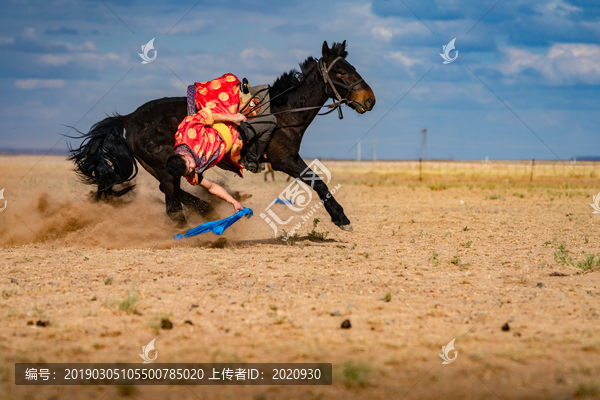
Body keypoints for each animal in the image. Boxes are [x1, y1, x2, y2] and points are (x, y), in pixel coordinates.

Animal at [69, 40, 376, 231]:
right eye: (341, 71)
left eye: (352, 68)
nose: (369, 99)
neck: (284, 111)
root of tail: (129, 118)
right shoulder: (284, 160)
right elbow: (318, 182)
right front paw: (341, 218)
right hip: (166, 166)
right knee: (171, 201)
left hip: (162, 167)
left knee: (171, 192)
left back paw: (207, 211)